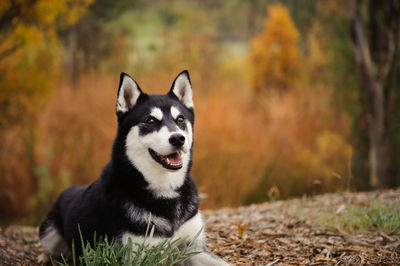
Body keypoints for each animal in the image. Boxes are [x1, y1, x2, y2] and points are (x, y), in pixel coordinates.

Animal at [39, 69, 231, 264]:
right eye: (151, 120)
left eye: (180, 119)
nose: (178, 138)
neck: (165, 189)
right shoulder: (138, 256)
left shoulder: (194, 249)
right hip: (48, 233)